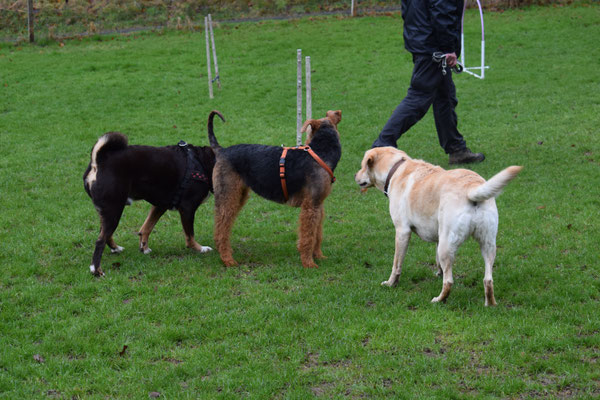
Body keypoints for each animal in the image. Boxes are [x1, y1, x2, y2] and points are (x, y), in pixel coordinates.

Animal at [82, 130, 216, 276]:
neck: (201, 163)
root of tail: (100, 160)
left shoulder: (160, 205)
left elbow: (146, 227)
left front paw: (144, 248)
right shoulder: (187, 208)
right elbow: (190, 236)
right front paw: (200, 248)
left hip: (109, 211)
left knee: (105, 233)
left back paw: (116, 248)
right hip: (114, 210)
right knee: (100, 240)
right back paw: (96, 270)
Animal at [207, 108, 342, 268]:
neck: (322, 152)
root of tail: (221, 151)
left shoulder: (318, 204)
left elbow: (317, 234)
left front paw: (319, 256)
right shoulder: (310, 206)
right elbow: (308, 236)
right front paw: (308, 263)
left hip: (238, 195)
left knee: (220, 227)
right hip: (228, 195)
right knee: (222, 229)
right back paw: (228, 259)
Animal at [356, 147, 520, 306]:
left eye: (363, 165)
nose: (355, 176)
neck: (396, 168)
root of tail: (471, 187)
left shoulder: (402, 231)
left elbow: (396, 264)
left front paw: (391, 283)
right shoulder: (437, 236)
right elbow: (437, 262)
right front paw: (438, 273)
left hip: (447, 246)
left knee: (449, 282)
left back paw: (439, 300)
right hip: (487, 244)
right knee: (488, 280)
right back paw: (490, 303)